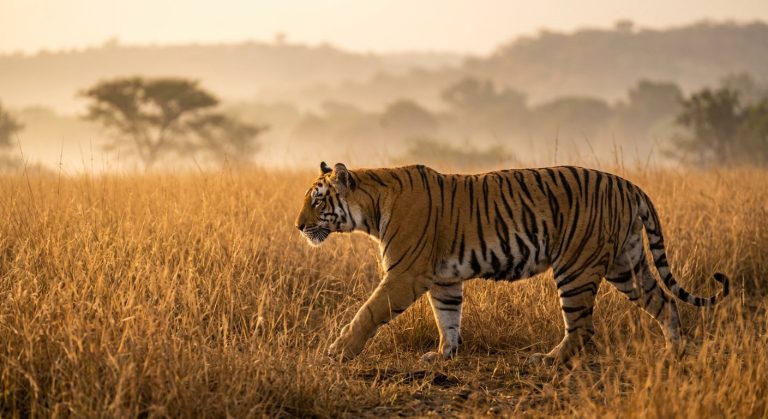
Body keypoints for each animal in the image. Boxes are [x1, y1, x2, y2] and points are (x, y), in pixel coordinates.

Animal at [295, 162, 729, 364]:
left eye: (317, 201)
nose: (297, 226)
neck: (370, 208)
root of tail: (630, 185)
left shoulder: (406, 274)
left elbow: (367, 313)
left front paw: (338, 350)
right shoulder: (444, 280)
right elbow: (447, 318)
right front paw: (444, 355)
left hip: (576, 267)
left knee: (582, 327)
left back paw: (549, 360)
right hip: (628, 265)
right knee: (665, 303)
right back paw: (674, 353)